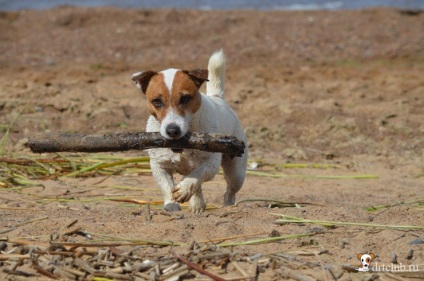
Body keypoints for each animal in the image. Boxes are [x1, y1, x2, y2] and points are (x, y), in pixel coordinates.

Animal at [131, 50, 247, 212]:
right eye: (157, 101)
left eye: (185, 98)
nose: (172, 130)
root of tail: (218, 98)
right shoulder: (158, 165)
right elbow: (166, 187)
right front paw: (171, 205)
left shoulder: (211, 162)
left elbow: (198, 174)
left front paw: (184, 188)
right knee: (197, 188)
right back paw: (197, 204)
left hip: (236, 172)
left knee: (230, 191)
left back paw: (228, 206)